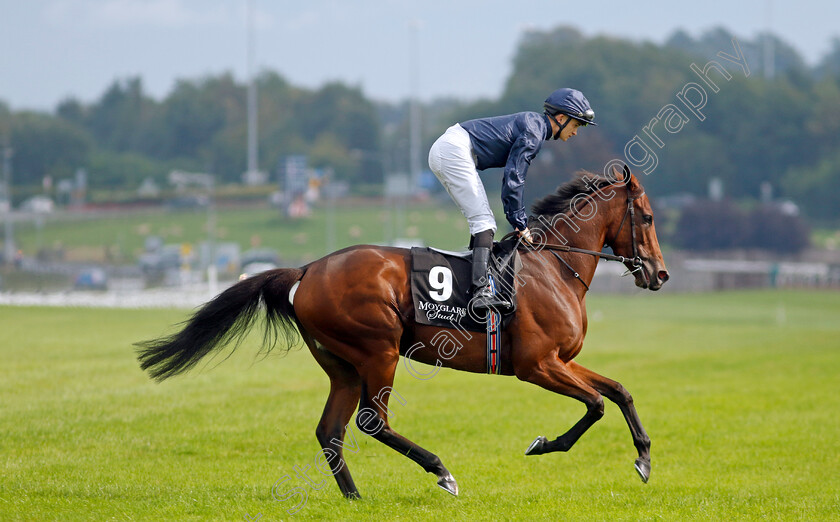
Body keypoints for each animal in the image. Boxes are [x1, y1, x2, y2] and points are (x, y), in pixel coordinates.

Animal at [136, 165, 668, 498]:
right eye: (647, 216)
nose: (660, 274)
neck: (554, 267)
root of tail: (307, 270)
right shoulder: (536, 365)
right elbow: (595, 404)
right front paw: (544, 444)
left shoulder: (562, 359)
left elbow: (619, 390)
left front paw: (643, 458)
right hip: (379, 351)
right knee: (372, 421)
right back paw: (441, 471)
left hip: (343, 367)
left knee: (330, 430)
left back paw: (354, 497)